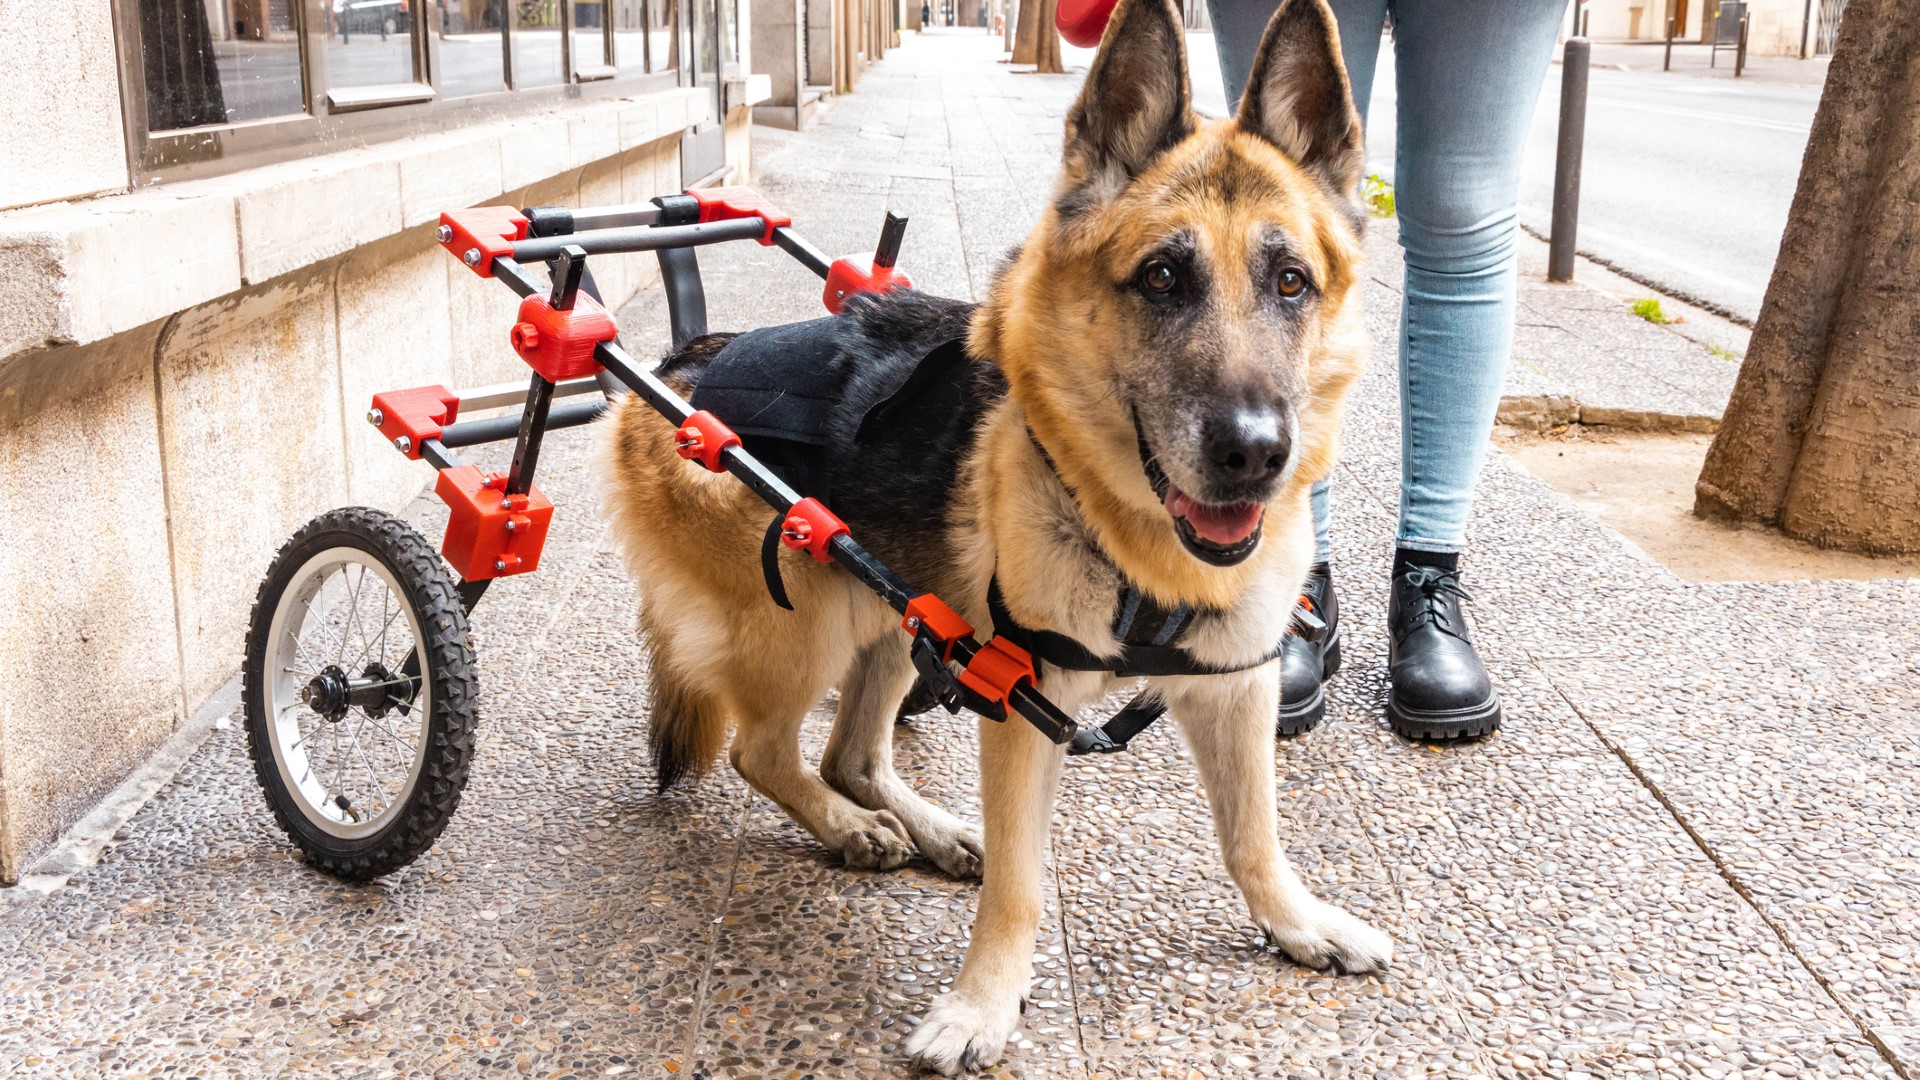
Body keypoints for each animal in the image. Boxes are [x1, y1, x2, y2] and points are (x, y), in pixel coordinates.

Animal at [606, 0, 1390, 1060]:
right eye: (1162, 278)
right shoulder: (1024, 711)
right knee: (766, 754)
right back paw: (848, 828)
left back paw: (927, 829)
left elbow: (1253, 835)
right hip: (808, 621)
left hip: (906, 614)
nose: (1256, 453)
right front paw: (984, 1001)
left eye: (1293, 283)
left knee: (851, 755)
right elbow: (1023, 884)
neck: (1134, 541)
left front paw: (1297, 923)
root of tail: (679, 366)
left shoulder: (1238, 689)